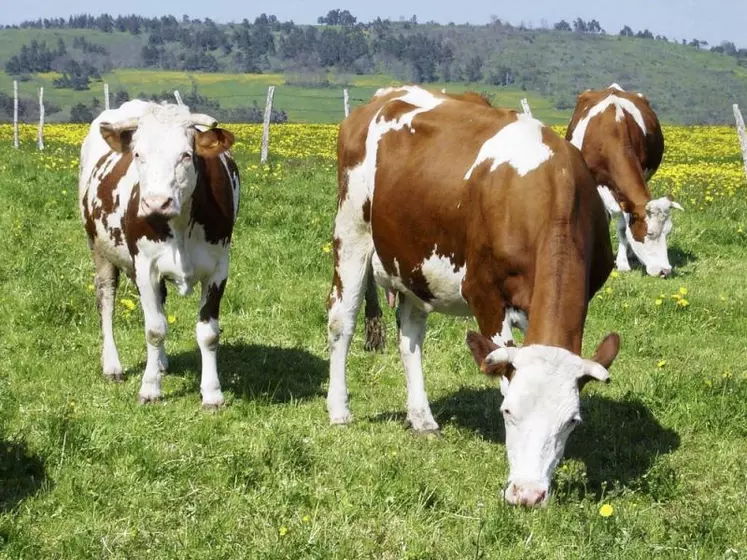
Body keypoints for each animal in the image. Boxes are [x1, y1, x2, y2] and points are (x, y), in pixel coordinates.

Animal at [78, 100, 240, 406]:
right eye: (138, 154)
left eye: (186, 155)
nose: (156, 203)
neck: (181, 224)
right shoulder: (145, 267)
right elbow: (154, 330)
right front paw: (150, 388)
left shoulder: (218, 268)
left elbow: (208, 334)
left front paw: (212, 393)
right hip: (99, 248)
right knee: (106, 298)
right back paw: (113, 365)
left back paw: (162, 363)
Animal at [330, 86, 624, 508]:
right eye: (507, 412)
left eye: (572, 422)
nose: (528, 495)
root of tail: (385, 95)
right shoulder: (484, 294)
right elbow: (500, 366)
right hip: (351, 231)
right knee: (342, 320)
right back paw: (339, 410)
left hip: (416, 263)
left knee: (410, 339)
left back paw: (422, 418)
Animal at [568, 84, 684, 276]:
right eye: (649, 233)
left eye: (668, 232)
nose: (665, 270)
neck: (612, 131)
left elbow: (624, 225)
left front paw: (624, 259)